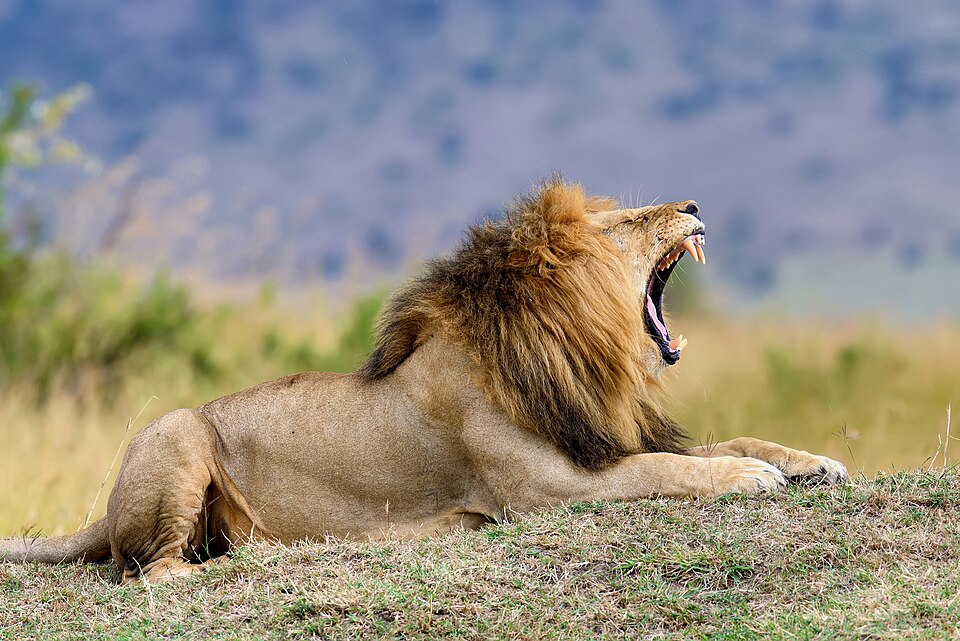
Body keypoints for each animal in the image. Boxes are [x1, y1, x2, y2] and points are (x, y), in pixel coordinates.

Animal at [0, 180, 847, 582]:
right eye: (627, 224)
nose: (695, 203)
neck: (578, 354)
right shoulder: (548, 490)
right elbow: (669, 469)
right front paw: (751, 477)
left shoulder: (601, 438)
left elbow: (721, 440)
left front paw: (810, 460)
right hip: (177, 426)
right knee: (150, 570)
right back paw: (249, 558)